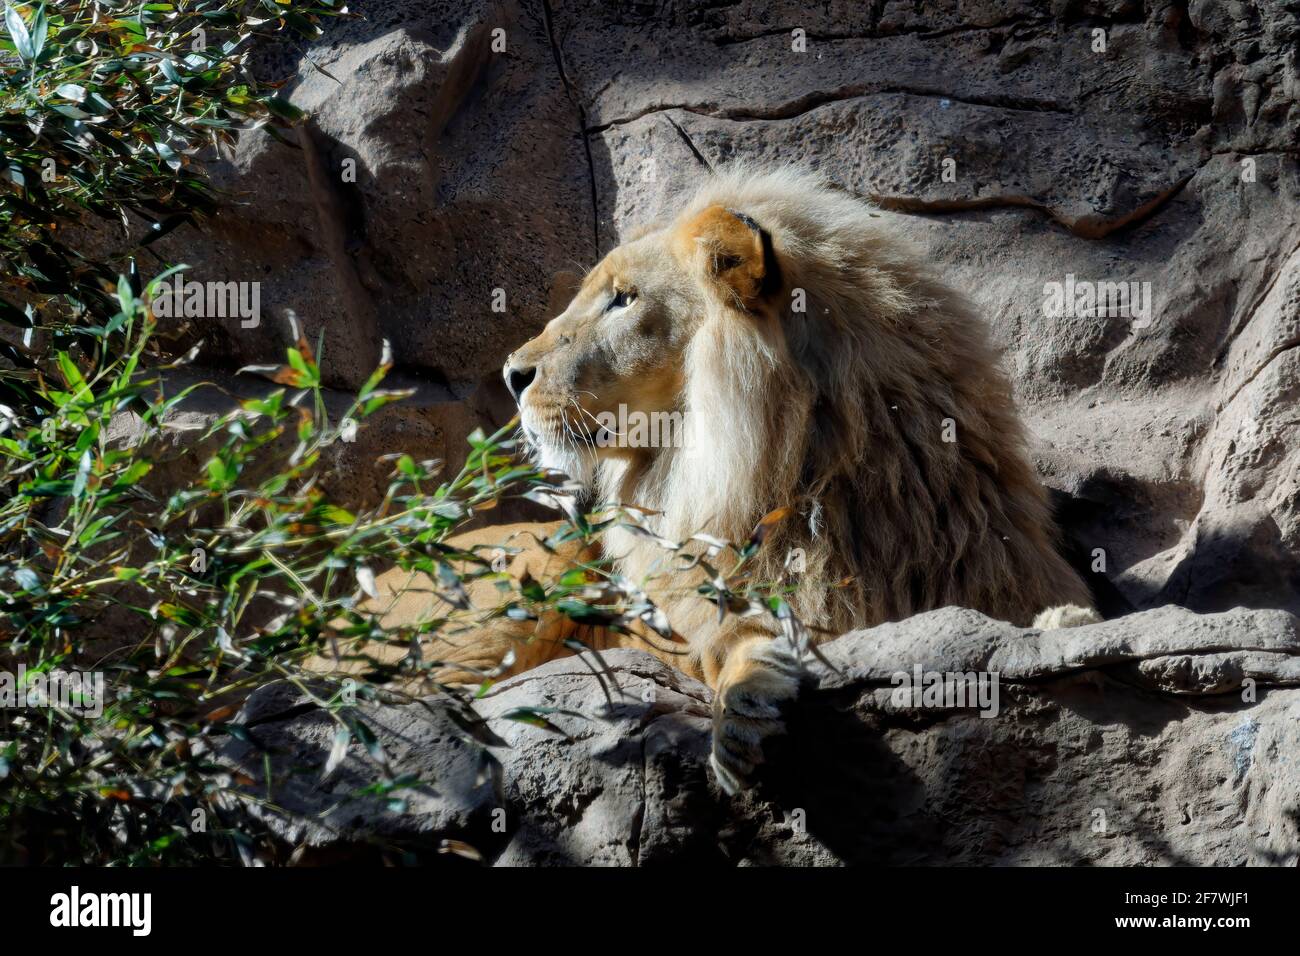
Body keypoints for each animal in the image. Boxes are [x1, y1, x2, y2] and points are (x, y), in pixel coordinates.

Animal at [335, 166, 1098, 793]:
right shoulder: (695, 611)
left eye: (622, 300)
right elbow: (730, 642)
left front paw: (1067, 623)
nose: (512, 374)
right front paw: (743, 713)